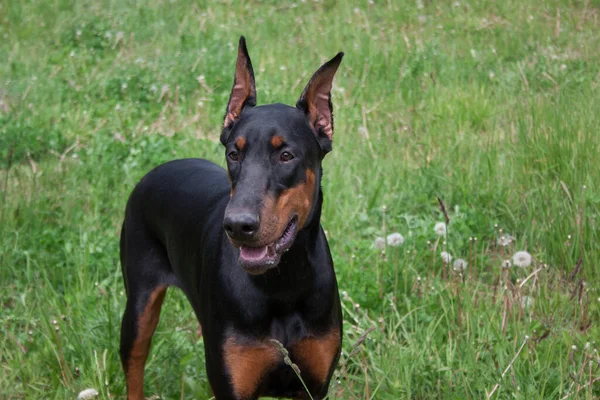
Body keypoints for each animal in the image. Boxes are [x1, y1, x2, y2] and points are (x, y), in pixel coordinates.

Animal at [119, 37, 344, 400]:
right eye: (233, 153)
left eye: (286, 155)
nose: (239, 225)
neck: (282, 284)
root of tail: (153, 172)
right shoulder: (232, 386)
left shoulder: (313, 387)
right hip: (138, 307)